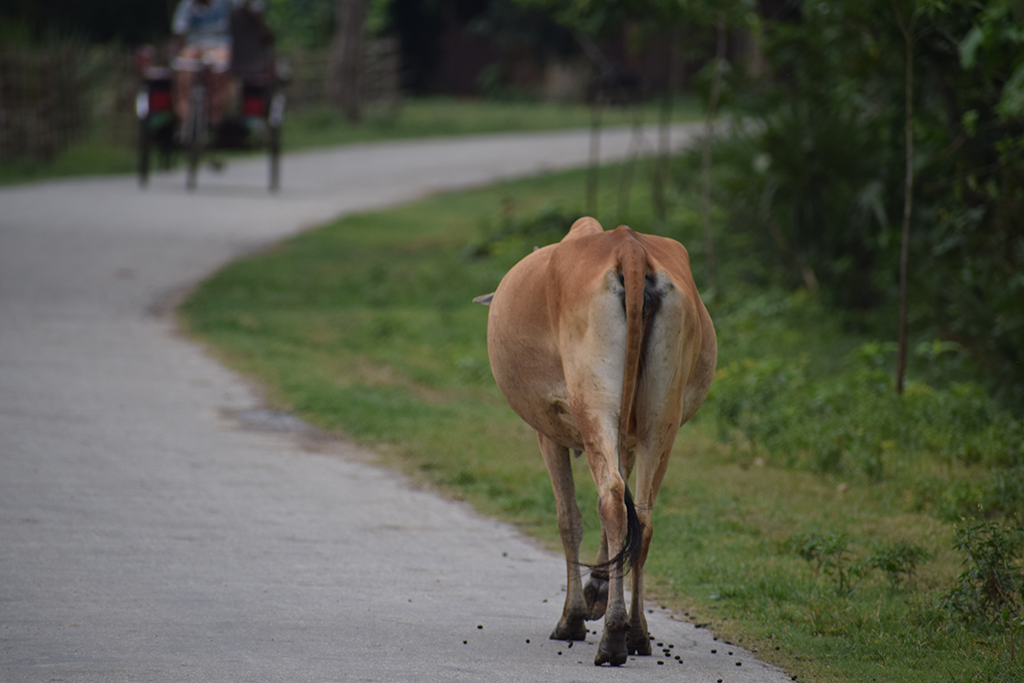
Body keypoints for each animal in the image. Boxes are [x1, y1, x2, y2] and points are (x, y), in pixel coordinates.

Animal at [480, 216, 716, 666]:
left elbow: (568, 518)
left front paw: (574, 615)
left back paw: (612, 635)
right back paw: (636, 632)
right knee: (640, 515)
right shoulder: (628, 439)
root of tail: (629, 247)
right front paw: (598, 590)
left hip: (593, 403)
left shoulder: (547, 432)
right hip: (661, 417)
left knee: (610, 500)